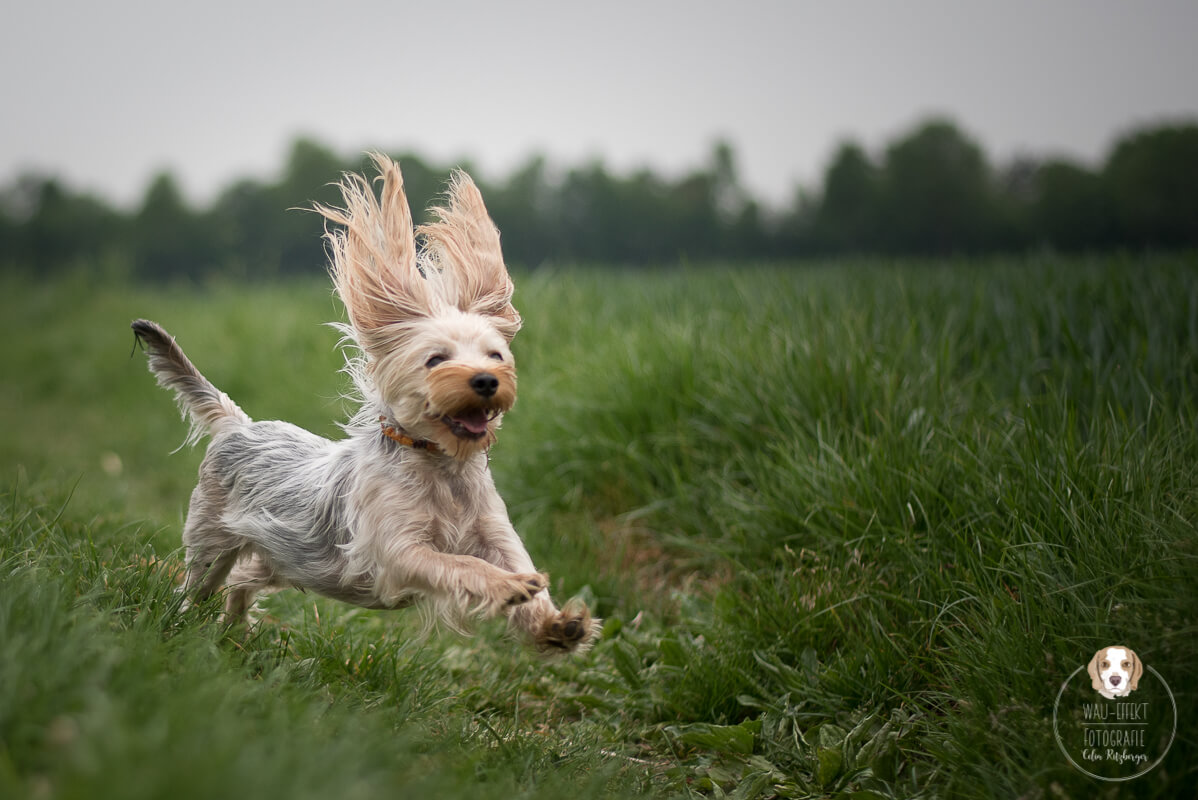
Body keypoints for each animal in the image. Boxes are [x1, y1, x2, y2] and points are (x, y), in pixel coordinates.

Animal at [132, 154, 596, 652]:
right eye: (436, 359)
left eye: (497, 355)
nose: (487, 380)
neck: (440, 463)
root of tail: (237, 424)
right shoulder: (398, 552)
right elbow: (460, 565)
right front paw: (504, 586)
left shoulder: (493, 531)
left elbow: (517, 561)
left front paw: (554, 623)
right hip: (212, 540)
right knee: (200, 583)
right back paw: (185, 625)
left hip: (287, 554)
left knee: (245, 577)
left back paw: (235, 629)